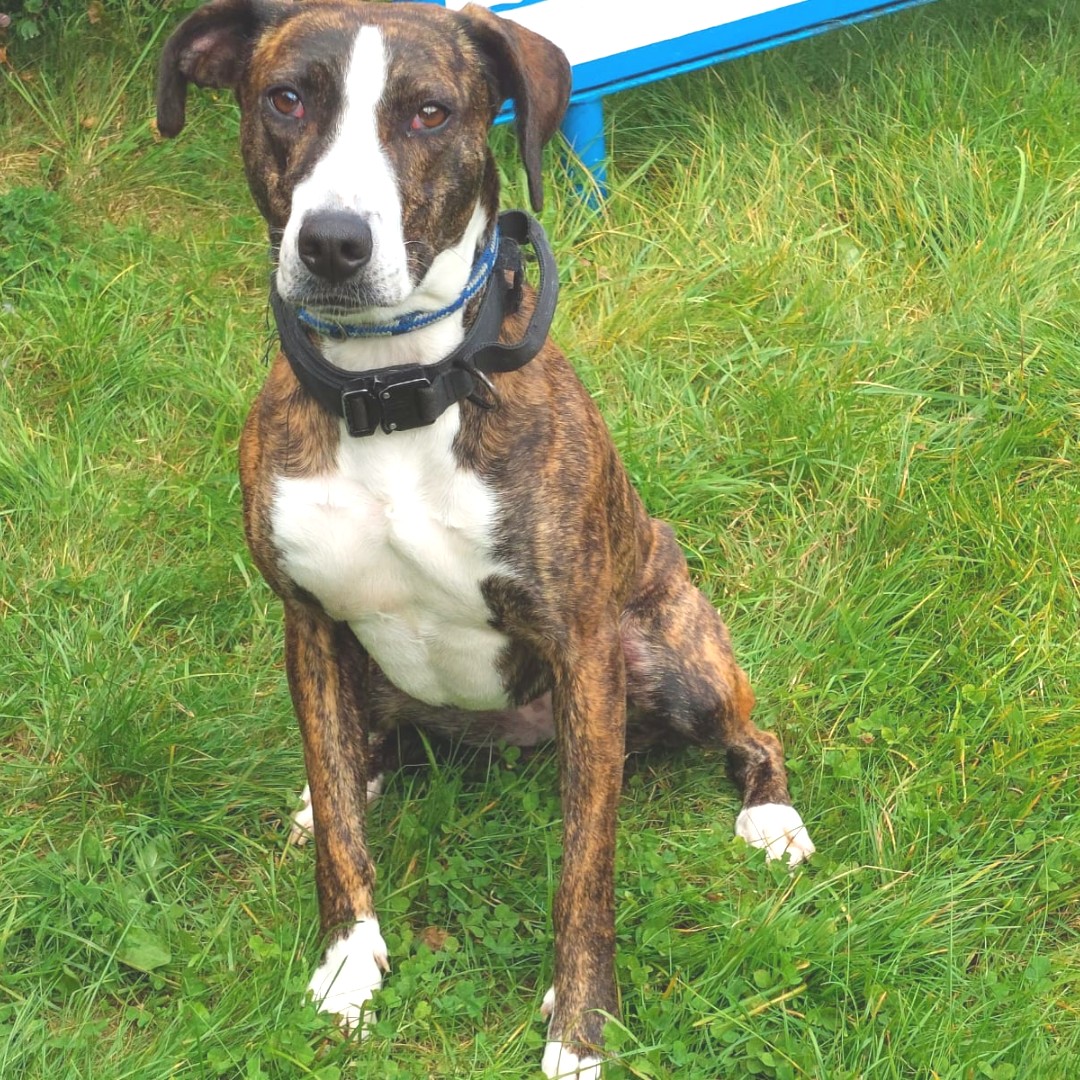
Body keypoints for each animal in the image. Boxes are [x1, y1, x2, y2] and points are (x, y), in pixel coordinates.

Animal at [156, 4, 812, 1075]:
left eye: (430, 111)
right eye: (285, 98)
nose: (333, 242)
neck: (390, 393)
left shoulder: (583, 649)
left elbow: (585, 873)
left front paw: (580, 1025)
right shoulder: (308, 623)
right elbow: (341, 838)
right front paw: (348, 962)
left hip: (672, 658)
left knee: (753, 733)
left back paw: (772, 817)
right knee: (361, 751)